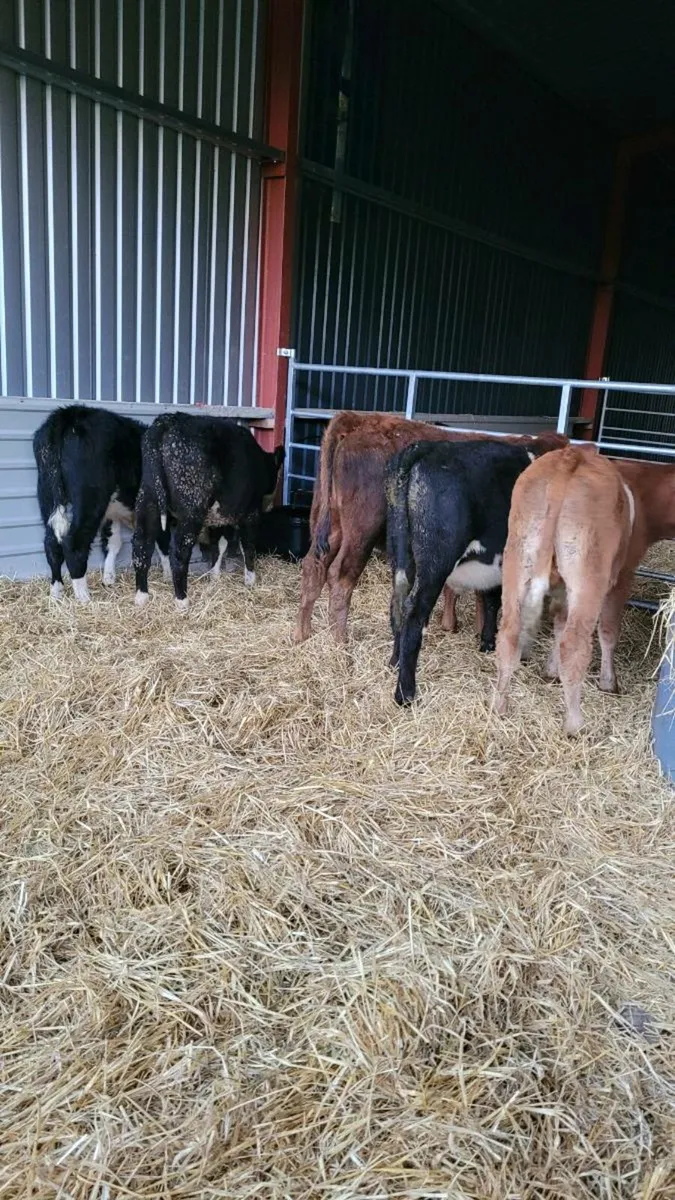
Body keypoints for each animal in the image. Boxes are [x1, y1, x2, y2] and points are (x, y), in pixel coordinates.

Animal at [33, 404, 171, 603]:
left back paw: (56, 593)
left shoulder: (112, 513)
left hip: (47, 493)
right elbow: (163, 542)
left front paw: (109, 578)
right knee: (73, 543)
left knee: (52, 543)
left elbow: (113, 542)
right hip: (90, 499)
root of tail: (70, 413)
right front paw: (168, 575)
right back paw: (83, 597)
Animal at [132, 411, 284, 611]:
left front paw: (215, 576)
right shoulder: (250, 513)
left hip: (148, 497)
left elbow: (219, 545)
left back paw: (141, 596)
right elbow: (248, 546)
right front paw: (251, 581)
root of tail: (169, 419)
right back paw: (182, 600)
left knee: (141, 543)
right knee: (179, 550)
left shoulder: (220, 517)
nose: (270, 506)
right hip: (192, 506)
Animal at [293, 410, 567, 645]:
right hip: (362, 529)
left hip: (331, 524)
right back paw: (340, 643)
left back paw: (303, 635)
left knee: (313, 568)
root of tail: (357, 419)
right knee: (340, 577)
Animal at [386, 436, 560, 706]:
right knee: (413, 614)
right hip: (436, 560)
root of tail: (429, 446)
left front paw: (488, 642)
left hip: (401, 556)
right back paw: (406, 693)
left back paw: (395, 662)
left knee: (397, 604)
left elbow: (492, 600)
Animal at [494, 447, 675, 736]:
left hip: (518, 558)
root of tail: (571, 456)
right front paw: (608, 683)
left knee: (510, 633)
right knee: (575, 643)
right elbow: (608, 631)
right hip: (589, 574)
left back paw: (499, 706)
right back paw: (575, 724)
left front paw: (551, 671)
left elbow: (559, 621)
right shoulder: (624, 574)